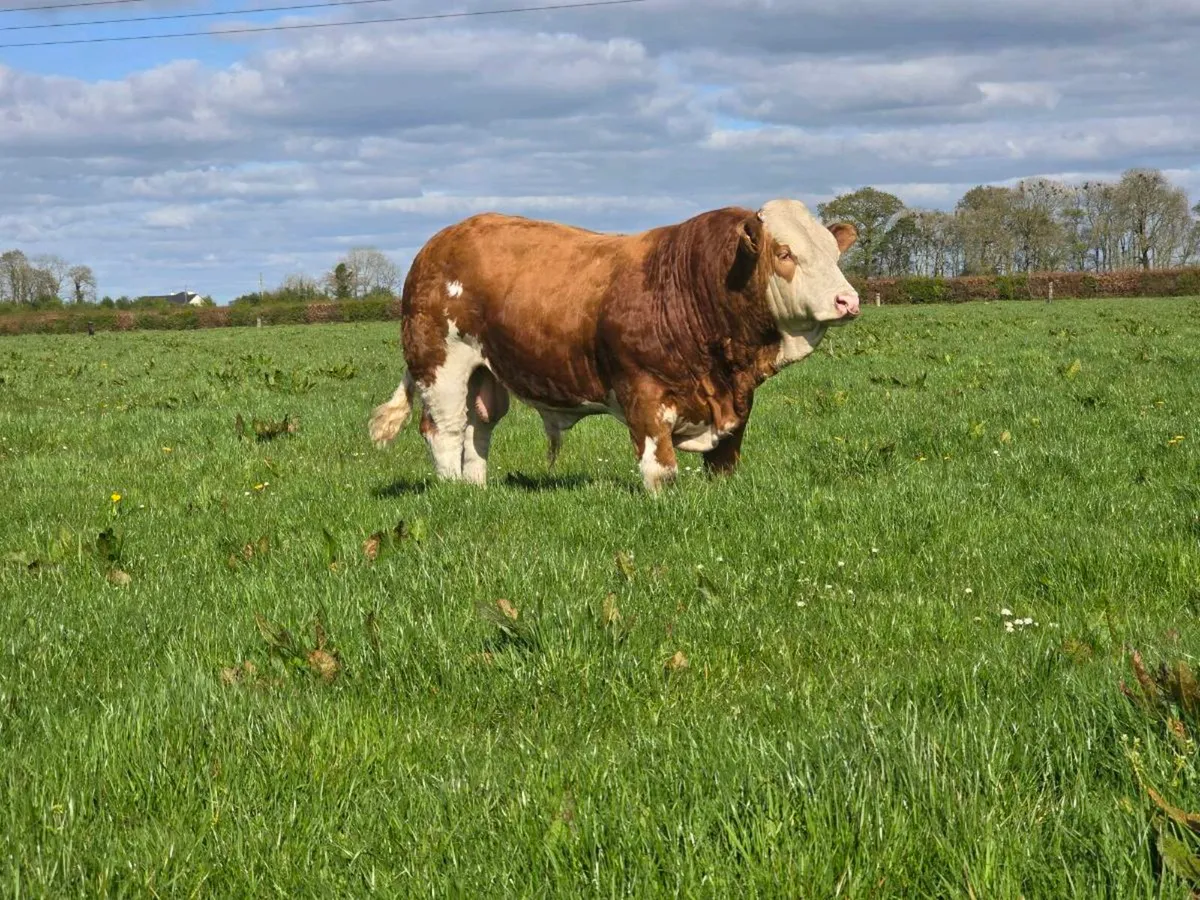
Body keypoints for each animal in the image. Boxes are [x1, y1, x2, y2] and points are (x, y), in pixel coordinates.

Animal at [369, 199, 860, 492]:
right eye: (785, 253)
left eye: (834, 254)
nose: (848, 300)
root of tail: (441, 240)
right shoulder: (642, 391)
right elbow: (660, 467)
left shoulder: (738, 402)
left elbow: (725, 460)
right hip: (440, 362)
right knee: (445, 429)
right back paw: (453, 491)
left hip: (485, 372)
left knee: (479, 426)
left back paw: (476, 488)